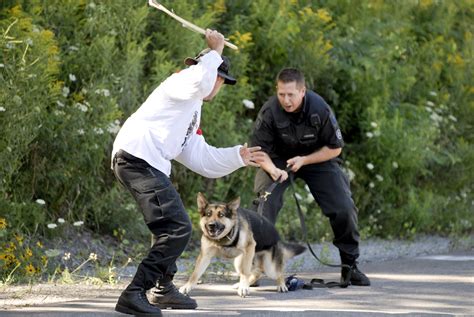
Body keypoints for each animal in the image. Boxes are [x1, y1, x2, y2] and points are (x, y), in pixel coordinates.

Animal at [179, 191, 308, 298]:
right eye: (208, 214)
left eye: (221, 215)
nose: (211, 225)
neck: (224, 238)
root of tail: (277, 235)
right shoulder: (204, 256)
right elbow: (195, 274)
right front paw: (187, 286)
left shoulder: (250, 247)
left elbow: (245, 273)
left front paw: (244, 289)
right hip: (239, 262)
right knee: (256, 272)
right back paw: (241, 284)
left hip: (269, 267)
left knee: (277, 272)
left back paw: (280, 285)